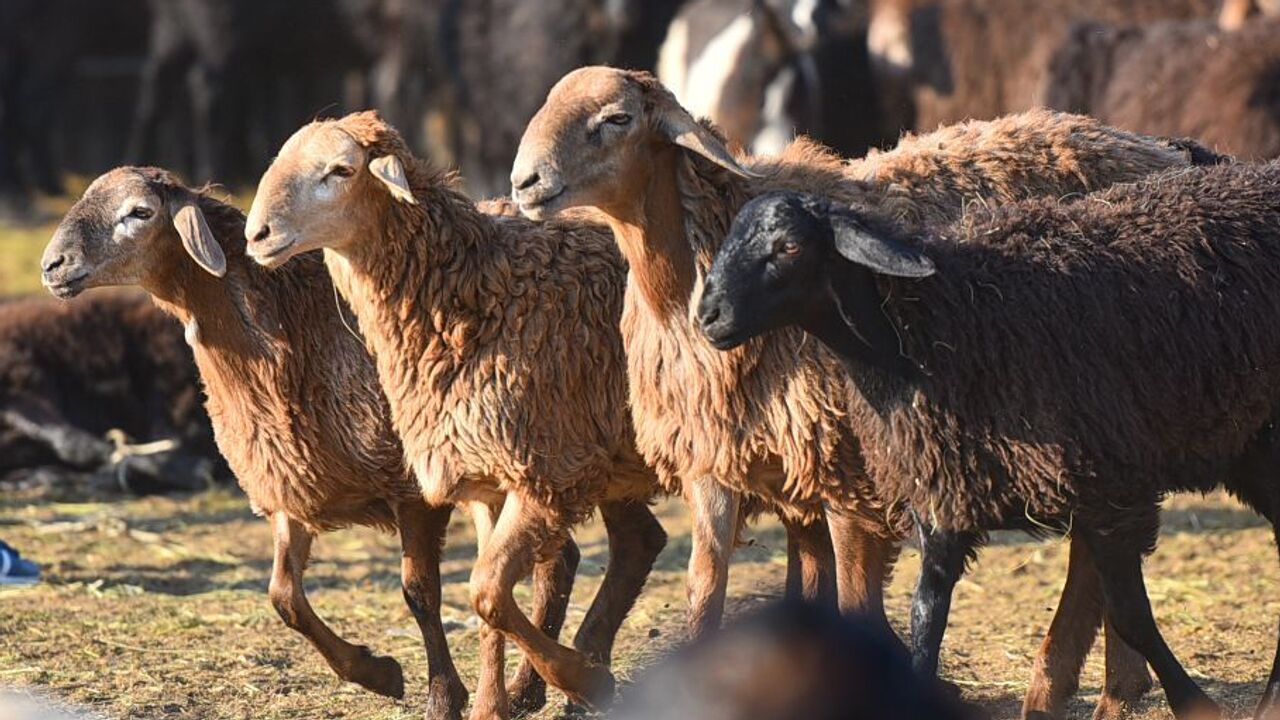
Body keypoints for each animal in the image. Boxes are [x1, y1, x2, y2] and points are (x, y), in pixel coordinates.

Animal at [35, 166, 583, 717]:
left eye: (139, 212)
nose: (52, 265)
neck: (294, 330)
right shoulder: (289, 488)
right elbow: (284, 597)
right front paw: (377, 673)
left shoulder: (413, 492)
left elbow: (420, 592)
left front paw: (443, 696)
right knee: (563, 559)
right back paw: (532, 689)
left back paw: (532, 687)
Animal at [244, 113, 675, 712]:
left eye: (340, 170)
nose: (256, 235)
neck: (476, 296)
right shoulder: (487, 478)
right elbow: (488, 607)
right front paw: (497, 705)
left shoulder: (542, 472)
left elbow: (486, 592)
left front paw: (580, 679)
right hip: (612, 459)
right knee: (640, 542)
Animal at [696, 162, 1280, 717]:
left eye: (789, 247)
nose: (708, 316)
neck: (927, 329)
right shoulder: (945, 497)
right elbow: (926, 614)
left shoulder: (1108, 492)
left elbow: (1131, 617)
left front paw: (1195, 704)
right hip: (1251, 451)